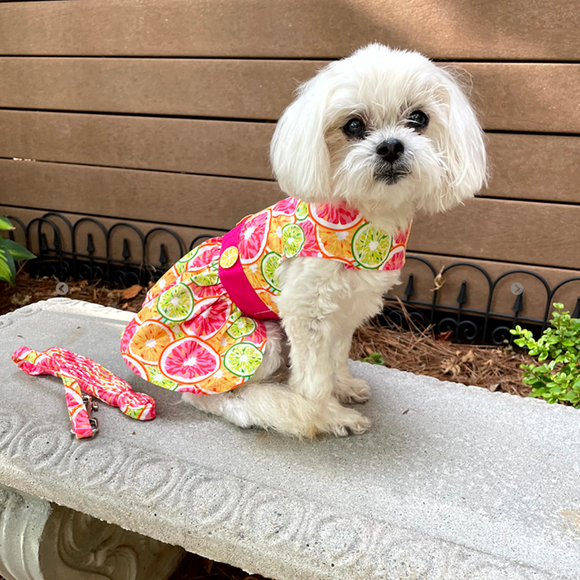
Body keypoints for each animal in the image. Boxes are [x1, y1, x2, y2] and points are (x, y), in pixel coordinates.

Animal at [182, 44, 484, 436]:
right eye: (353, 125)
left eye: (419, 118)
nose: (390, 146)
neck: (364, 221)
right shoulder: (306, 312)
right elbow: (314, 379)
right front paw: (327, 414)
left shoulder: (347, 308)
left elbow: (335, 358)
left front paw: (343, 387)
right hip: (259, 342)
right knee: (213, 397)